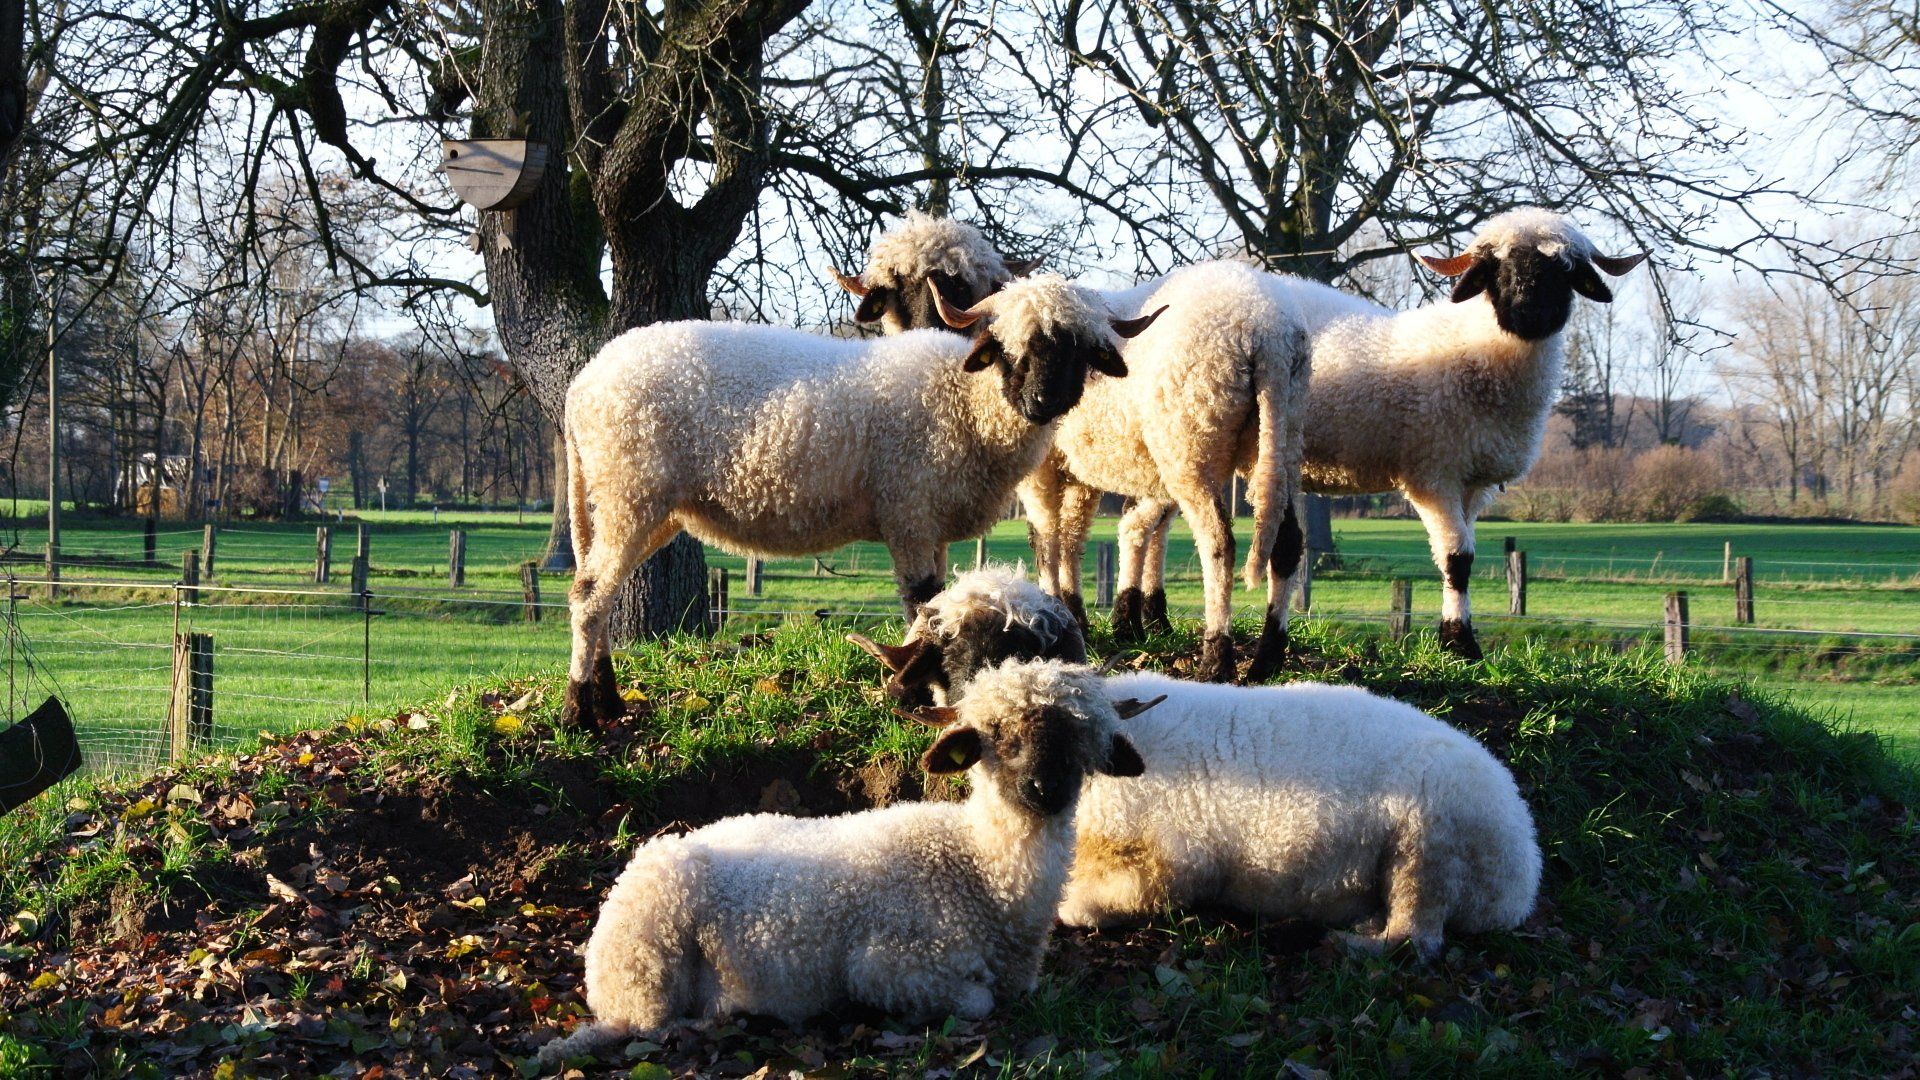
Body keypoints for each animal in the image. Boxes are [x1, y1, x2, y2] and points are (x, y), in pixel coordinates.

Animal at [533, 657, 1144, 1060]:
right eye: (997, 735)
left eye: (1082, 737)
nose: (1045, 789)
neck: (976, 866)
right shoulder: (892, 968)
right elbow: (976, 1001)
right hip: (647, 959)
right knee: (640, 1024)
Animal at [556, 269, 1152, 726]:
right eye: (1008, 347)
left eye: (1080, 351)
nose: (1044, 400)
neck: (967, 403)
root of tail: (583, 384)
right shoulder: (908, 510)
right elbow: (920, 600)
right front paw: (914, 691)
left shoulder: (931, 524)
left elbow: (936, 602)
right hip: (630, 490)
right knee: (589, 596)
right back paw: (580, 711)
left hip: (637, 503)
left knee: (599, 590)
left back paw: (608, 701)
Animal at [844, 220, 1320, 680]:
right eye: (897, 287)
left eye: (957, 284)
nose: (925, 328)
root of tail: (1268, 329)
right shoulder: (1081, 471)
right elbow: (1072, 537)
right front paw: (1079, 616)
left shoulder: (1042, 469)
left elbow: (1045, 538)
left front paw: (1058, 608)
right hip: (1277, 439)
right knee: (1288, 542)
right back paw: (1266, 658)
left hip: (1190, 446)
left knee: (1218, 543)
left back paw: (1216, 658)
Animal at [864, 568, 1536, 953]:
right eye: (955, 655)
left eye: (1031, 645)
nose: (1043, 784)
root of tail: (1523, 865)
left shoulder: (1167, 871)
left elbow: (1080, 906)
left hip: (1428, 847)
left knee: (1416, 941)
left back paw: (1339, 939)